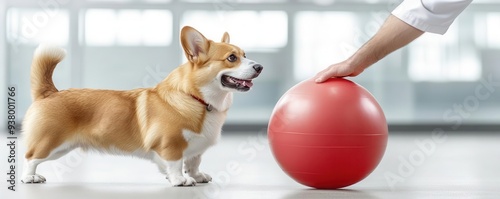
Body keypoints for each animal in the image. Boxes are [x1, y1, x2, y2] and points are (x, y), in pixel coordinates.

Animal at [20, 25, 262, 186]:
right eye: (231, 58)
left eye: (245, 55)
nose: (260, 67)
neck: (197, 98)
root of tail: (49, 92)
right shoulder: (171, 144)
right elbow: (176, 163)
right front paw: (180, 180)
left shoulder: (195, 149)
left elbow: (193, 162)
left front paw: (196, 176)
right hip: (51, 143)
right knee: (30, 158)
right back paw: (29, 177)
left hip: (62, 147)